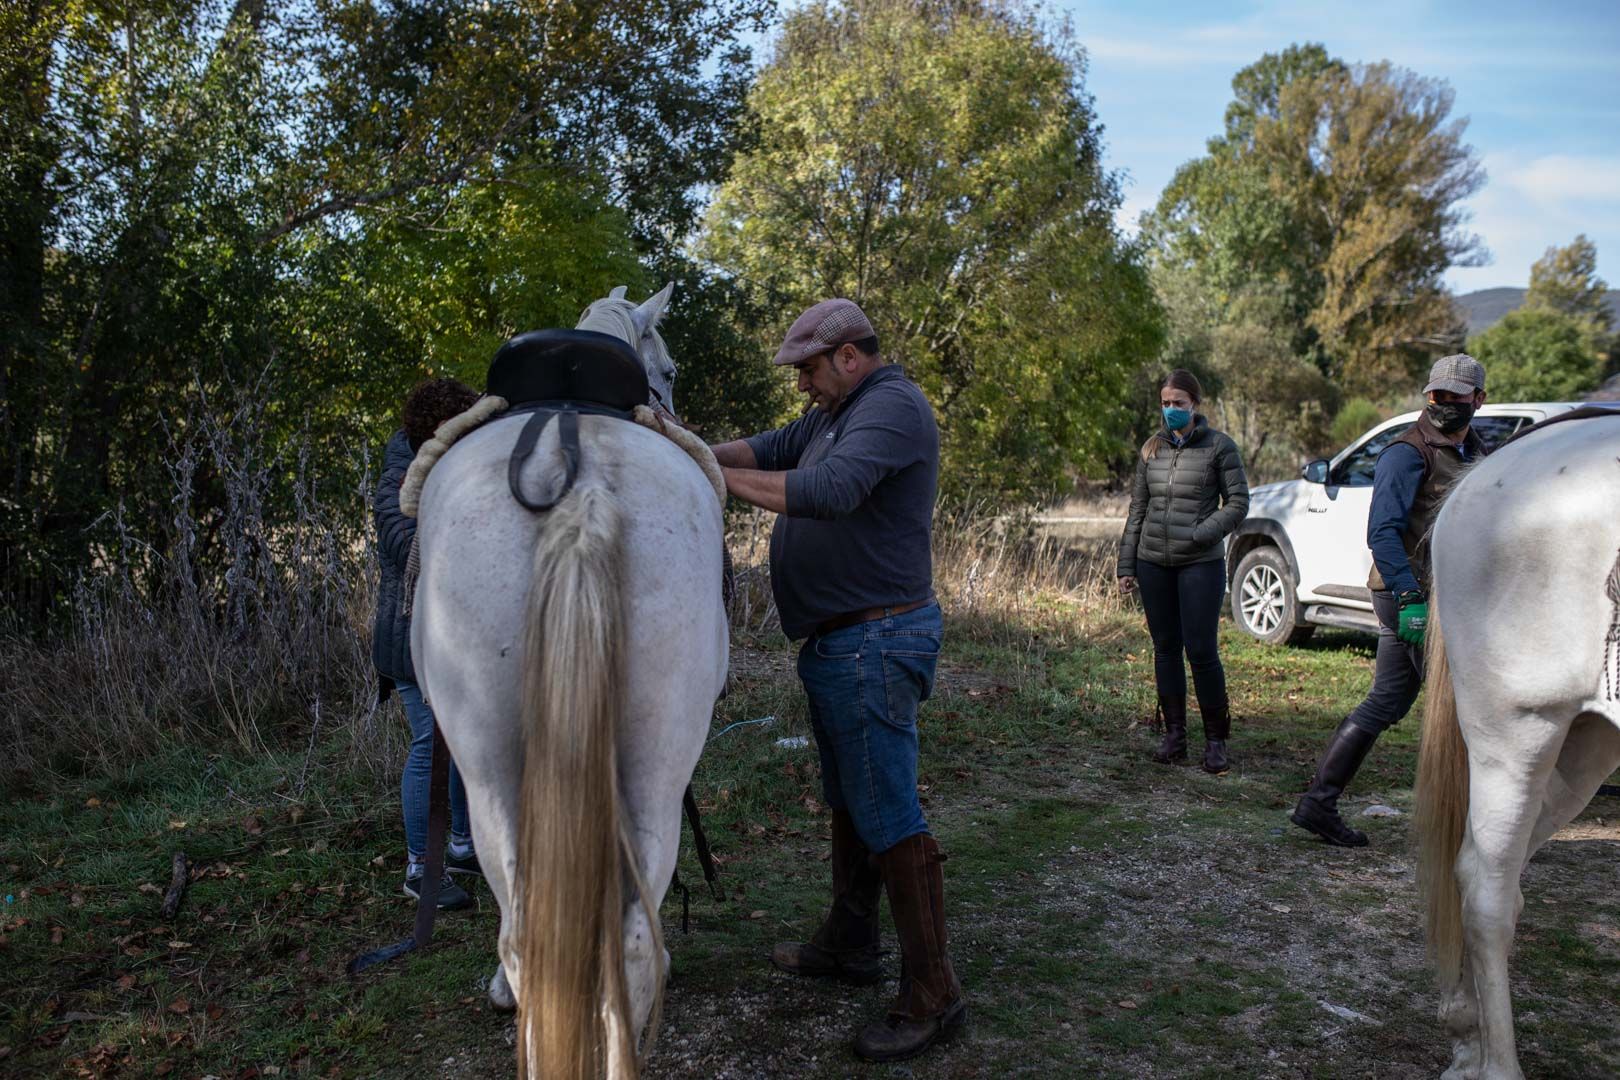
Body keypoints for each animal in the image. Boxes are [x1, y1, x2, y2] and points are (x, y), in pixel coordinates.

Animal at [411, 286, 729, 1080]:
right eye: (669, 371)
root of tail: (580, 487)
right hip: (650, 760)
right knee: (627, 940)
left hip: (491, 770)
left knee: (531, 934)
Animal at [1419, 409, 1620, 1075]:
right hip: (1519, 732)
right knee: (1486, 889)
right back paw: (1495, 1062)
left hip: (1585, 745)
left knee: (1494, 883)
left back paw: (1467, 1039)